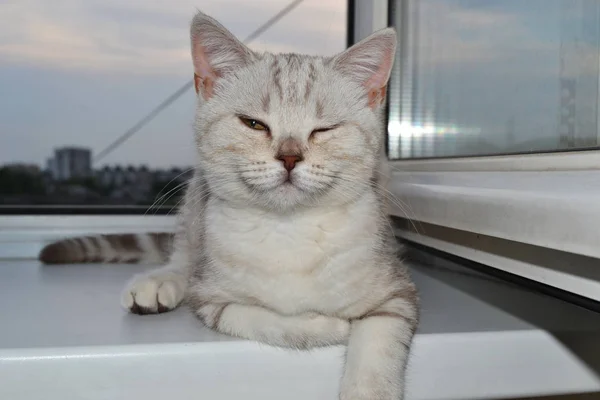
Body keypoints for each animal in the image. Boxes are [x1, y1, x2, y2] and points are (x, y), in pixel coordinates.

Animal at [39, 10, 420, 400]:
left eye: (323, 130)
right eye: (253, 124)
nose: (289, 157)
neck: (288, 230)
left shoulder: (397, 293)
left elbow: (378, 345)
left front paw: (367, 382)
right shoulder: (212, 300)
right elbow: (269, 321)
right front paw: (327, 326)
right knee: (184, 257)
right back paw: (161, 282)